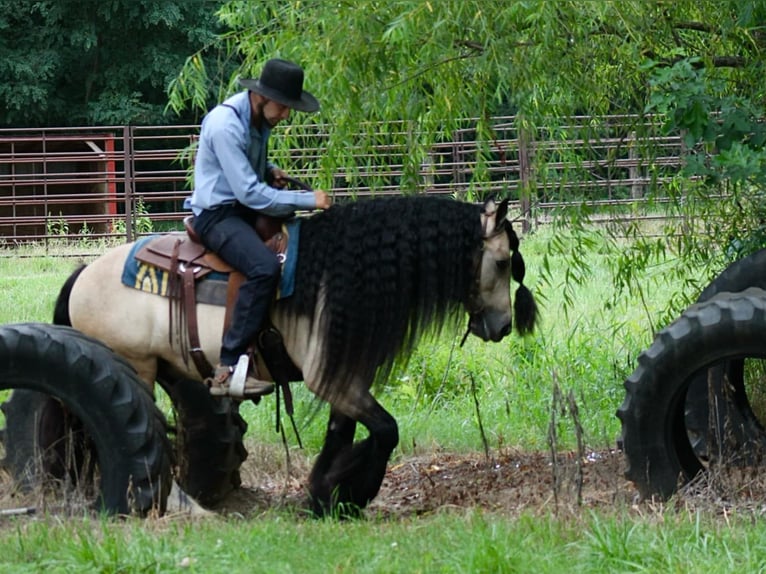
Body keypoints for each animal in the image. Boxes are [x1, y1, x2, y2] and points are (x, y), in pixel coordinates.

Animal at [54, 196, 536, 520]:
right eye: (501, 261)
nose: (502, 326)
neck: (334, 279)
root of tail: (85, 273)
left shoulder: (346, 374)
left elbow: (343, 434)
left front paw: (325, 494)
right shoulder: (330, 378)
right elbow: (386, 431)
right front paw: (350, 492)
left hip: (168, 368)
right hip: (135, 367)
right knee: (141, 433)